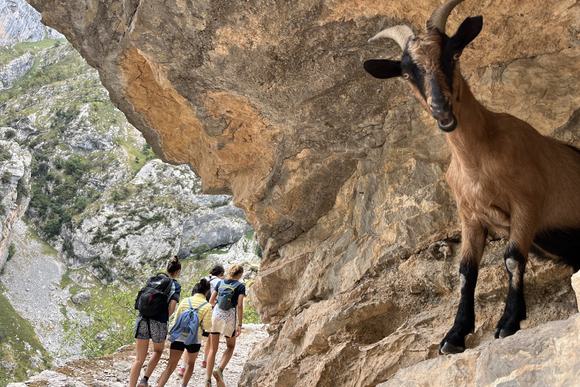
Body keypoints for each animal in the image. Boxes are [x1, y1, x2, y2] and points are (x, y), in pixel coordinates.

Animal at [362, 0, 580, 356]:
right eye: (407, 72)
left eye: (452, 54)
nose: (441, 109)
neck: (479, 161)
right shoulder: (470, 216)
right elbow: (466, 273)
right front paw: (454, 335)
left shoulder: (527, 205)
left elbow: (511, 259)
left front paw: (507, 323)